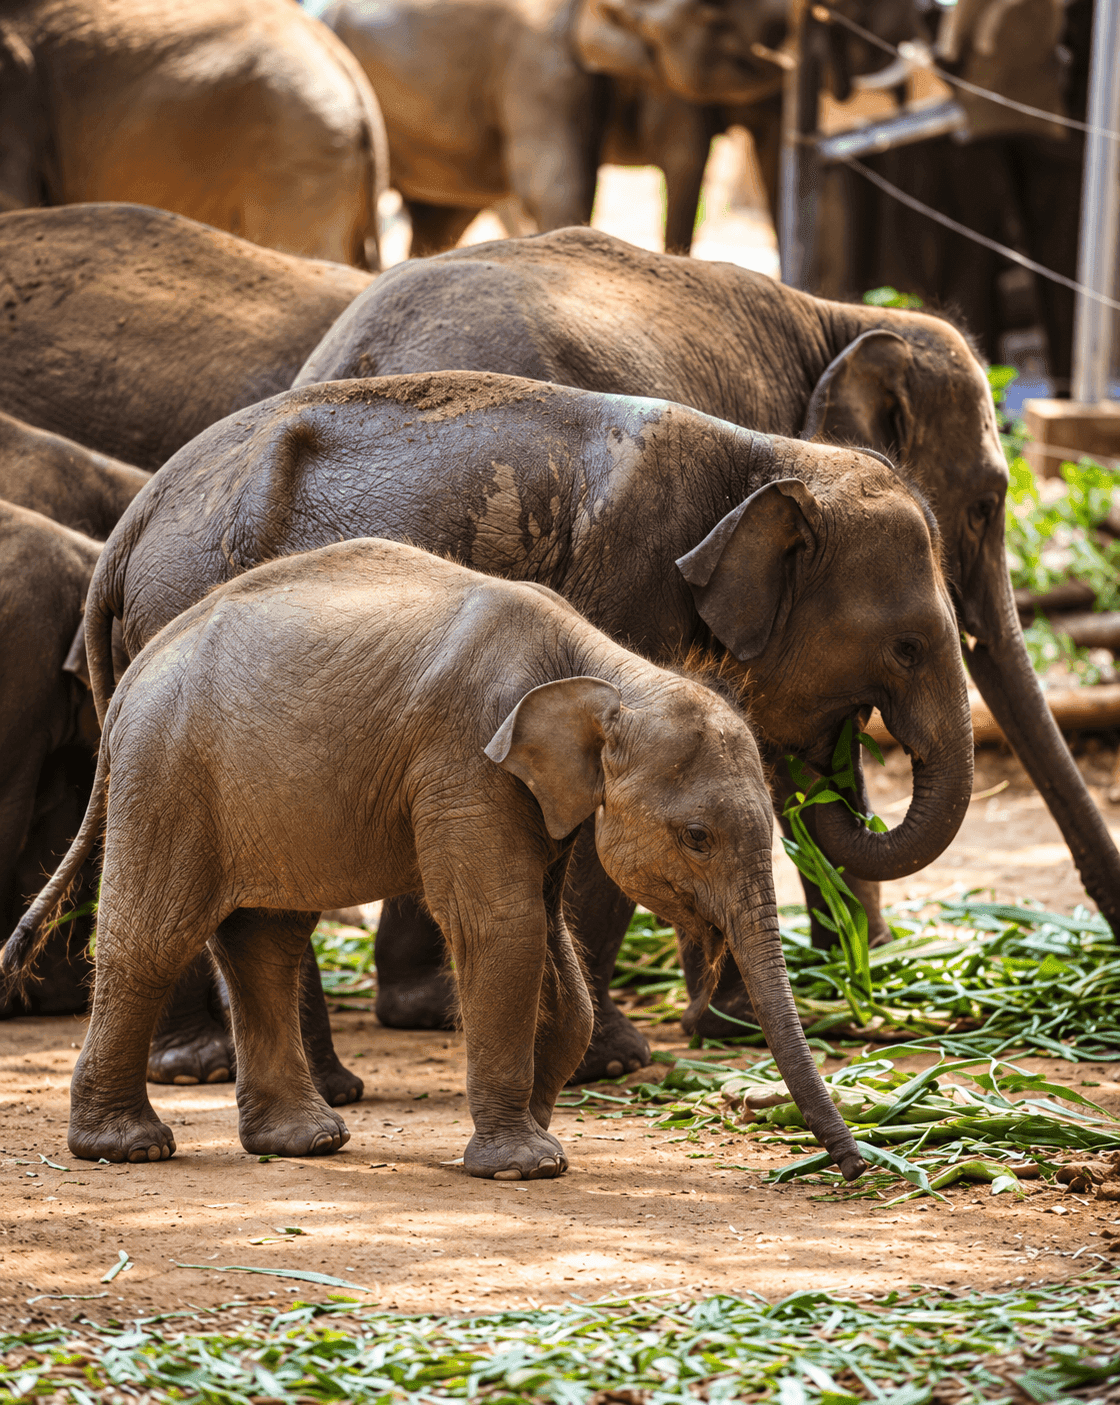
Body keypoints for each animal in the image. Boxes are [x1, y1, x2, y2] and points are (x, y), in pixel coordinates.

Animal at [7, 535, 867, 1183]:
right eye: (696, 836)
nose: (856, 1165)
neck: (609, 667)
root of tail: (129, 677)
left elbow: (543, 933)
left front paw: (540, 1129)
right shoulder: (467, 756)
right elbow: (501, 926)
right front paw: (527, 1164)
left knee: (266, 939)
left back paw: (305, 1141)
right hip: (169, 770)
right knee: (156, 936)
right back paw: (128, 1148)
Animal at [83, 371, 974, 1081]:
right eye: (905, 647)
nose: (836, 753)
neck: (762, 458)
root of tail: (126, 532)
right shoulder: (627, 576)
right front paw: (611, 1062)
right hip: (187, 602)